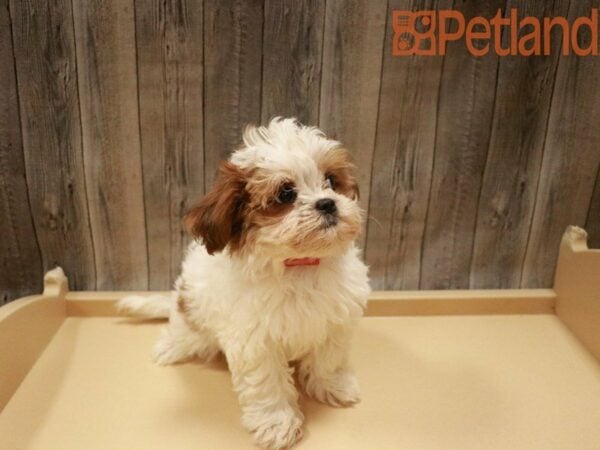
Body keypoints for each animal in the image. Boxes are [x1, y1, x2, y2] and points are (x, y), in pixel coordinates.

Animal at [118, 118, 370, 448]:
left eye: (331, 180)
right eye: (286, 194)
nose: (328, 203)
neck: (299, 265)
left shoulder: (335, 322)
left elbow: (328, 358)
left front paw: (333, 385)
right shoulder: (256, 341)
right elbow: (268, 384)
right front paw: (277, 422)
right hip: (190, 318)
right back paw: (170, 346)